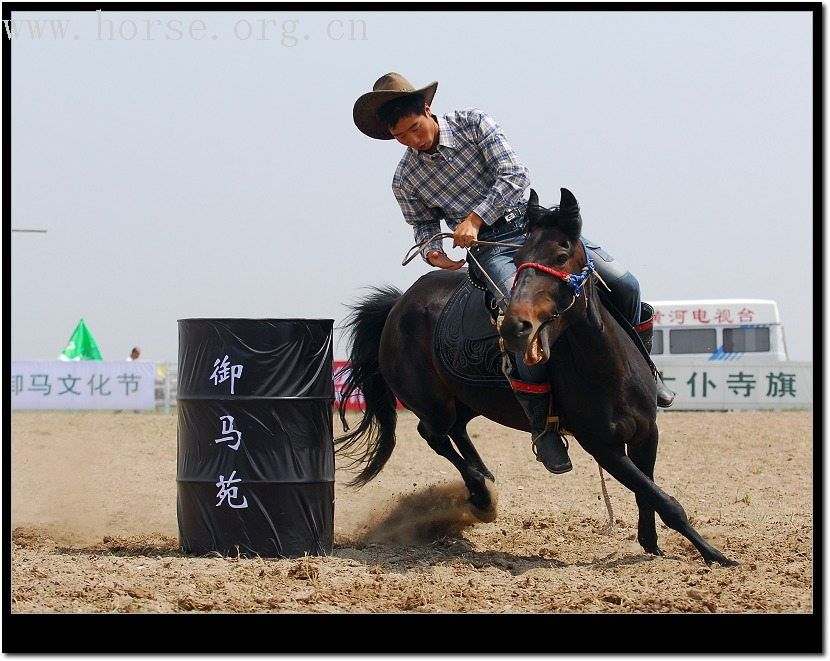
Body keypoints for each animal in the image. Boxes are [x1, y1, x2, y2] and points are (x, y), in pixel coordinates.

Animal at [334, 187, 736, 568]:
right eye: (516, 260)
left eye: (561, 255)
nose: (514, 326)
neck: (609, 368)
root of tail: (397, 307)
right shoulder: (600, 445)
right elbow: (663, 499)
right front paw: (715, 555)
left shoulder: (645, 431)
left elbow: (648, 491)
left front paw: (653, 545)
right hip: (432, 404)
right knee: (432, 434)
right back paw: (482, 493)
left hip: (469, 400)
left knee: (457, 430)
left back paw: (485, 480)